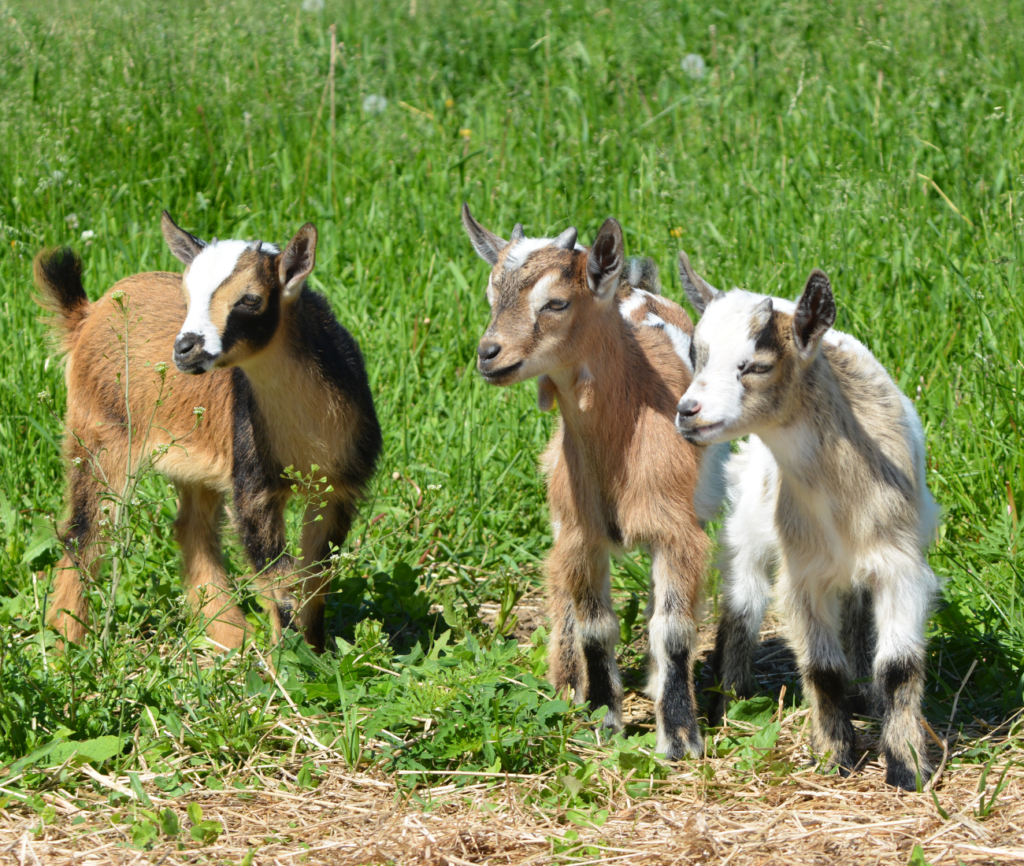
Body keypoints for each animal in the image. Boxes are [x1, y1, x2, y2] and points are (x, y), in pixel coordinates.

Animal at [35, 213, 381, 651]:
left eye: (250, 299)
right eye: (186, 297)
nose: (185, 348)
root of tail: (87, 313)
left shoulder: (337, 489)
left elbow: (315, 581)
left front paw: (316, 653)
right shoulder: (254, 487)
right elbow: (279, 580)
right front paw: (288, 660)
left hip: (192, 460)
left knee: (192, 530)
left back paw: (229, 635)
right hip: (99, 434)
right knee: (87, 530)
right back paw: (66, 642)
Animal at [461, 204, 727, 759]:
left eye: (556, 302)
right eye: (492, 296)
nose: (488, 353)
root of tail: (635, 286)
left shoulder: (679, 533)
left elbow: (672, 629)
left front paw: (681, 737)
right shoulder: (581, 535)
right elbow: (595, 626)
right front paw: (601, 718)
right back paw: (565, 685)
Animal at [675, 252, 939, 789]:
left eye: (756, 365)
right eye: (698, 356)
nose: (687, 412)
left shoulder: (900, 565)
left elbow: (899, 667)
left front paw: (907, 768)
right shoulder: (804, 572)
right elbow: (822, 669)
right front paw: (835, 756)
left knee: (857, 610)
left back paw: (865, 696)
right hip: (748, 528)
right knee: (743, 605)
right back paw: (731, 700)